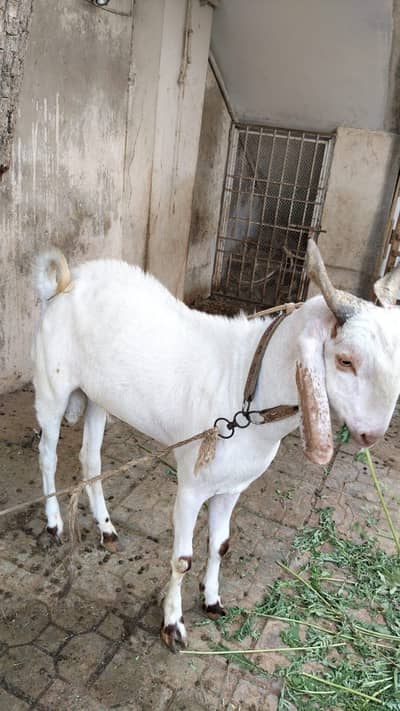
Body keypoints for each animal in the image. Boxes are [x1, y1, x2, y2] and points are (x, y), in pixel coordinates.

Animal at [32, 241, 400, 650]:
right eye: (345, 360)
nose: (372, 434)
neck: (246, 386)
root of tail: (64, 282)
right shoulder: (191, 487)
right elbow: (182, 558)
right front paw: (173, 625)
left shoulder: (232, 487)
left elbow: (220, 544)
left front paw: (211, 600)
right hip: (51, 387)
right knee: (47, 456)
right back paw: (54, 523)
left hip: (98, 397)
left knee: (90, 460)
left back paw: (107, 530)